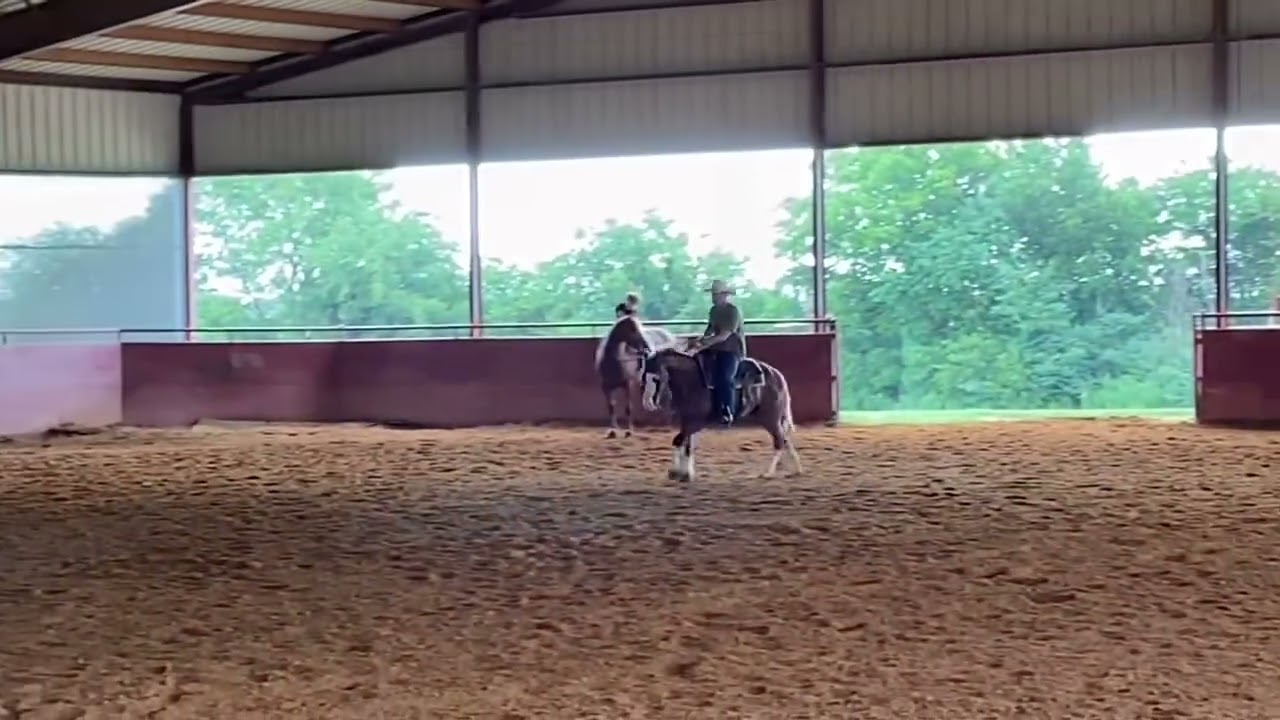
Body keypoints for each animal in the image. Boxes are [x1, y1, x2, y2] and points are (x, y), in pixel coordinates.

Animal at [640, 347, 802, 481]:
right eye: (643, 378)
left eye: (655, 378)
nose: (647, 403)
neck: (692, 381)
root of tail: (776, 374)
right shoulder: (687, 420)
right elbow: (687, 446)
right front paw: (686, 473)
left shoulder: (696, 423)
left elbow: (679, 441)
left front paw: (675, 472)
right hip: (769, 418)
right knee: (785, 439)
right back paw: (796, 469)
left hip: (770, 418)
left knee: (779, 441)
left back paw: (768, 473)